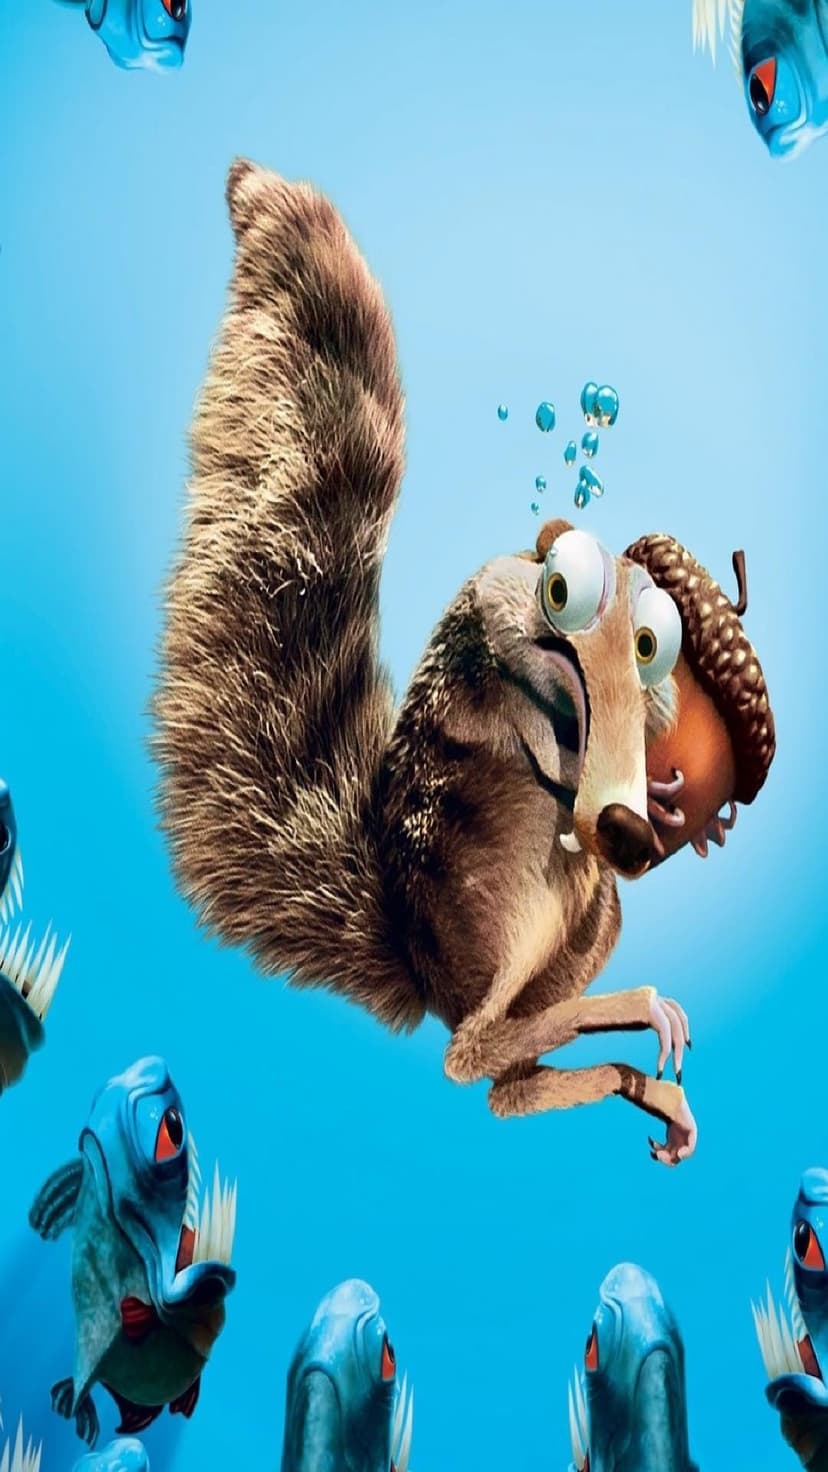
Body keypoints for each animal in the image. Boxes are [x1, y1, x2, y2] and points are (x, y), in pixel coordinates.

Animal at [153, 160, 774, 1168]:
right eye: (562, 589)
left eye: (656, 642)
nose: (625, 828)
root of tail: (424, 963)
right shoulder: (496, 673)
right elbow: (538, 742)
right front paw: (594, 776)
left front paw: (668, 799)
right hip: (497, 894)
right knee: (472, 1050)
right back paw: (627, 1011)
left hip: (587, 919)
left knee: (503, 1083)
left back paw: (625, 1070)